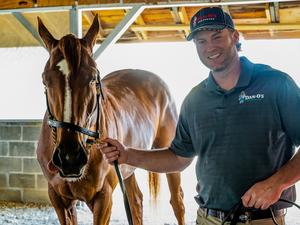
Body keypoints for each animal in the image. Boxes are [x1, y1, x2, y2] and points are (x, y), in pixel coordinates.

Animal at [36, 14, 184, 224]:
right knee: (136, 201)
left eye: (92, 78)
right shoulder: (59, 200)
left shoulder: (103, 199)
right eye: (45, 80)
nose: (70, 158)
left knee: (177, 202)